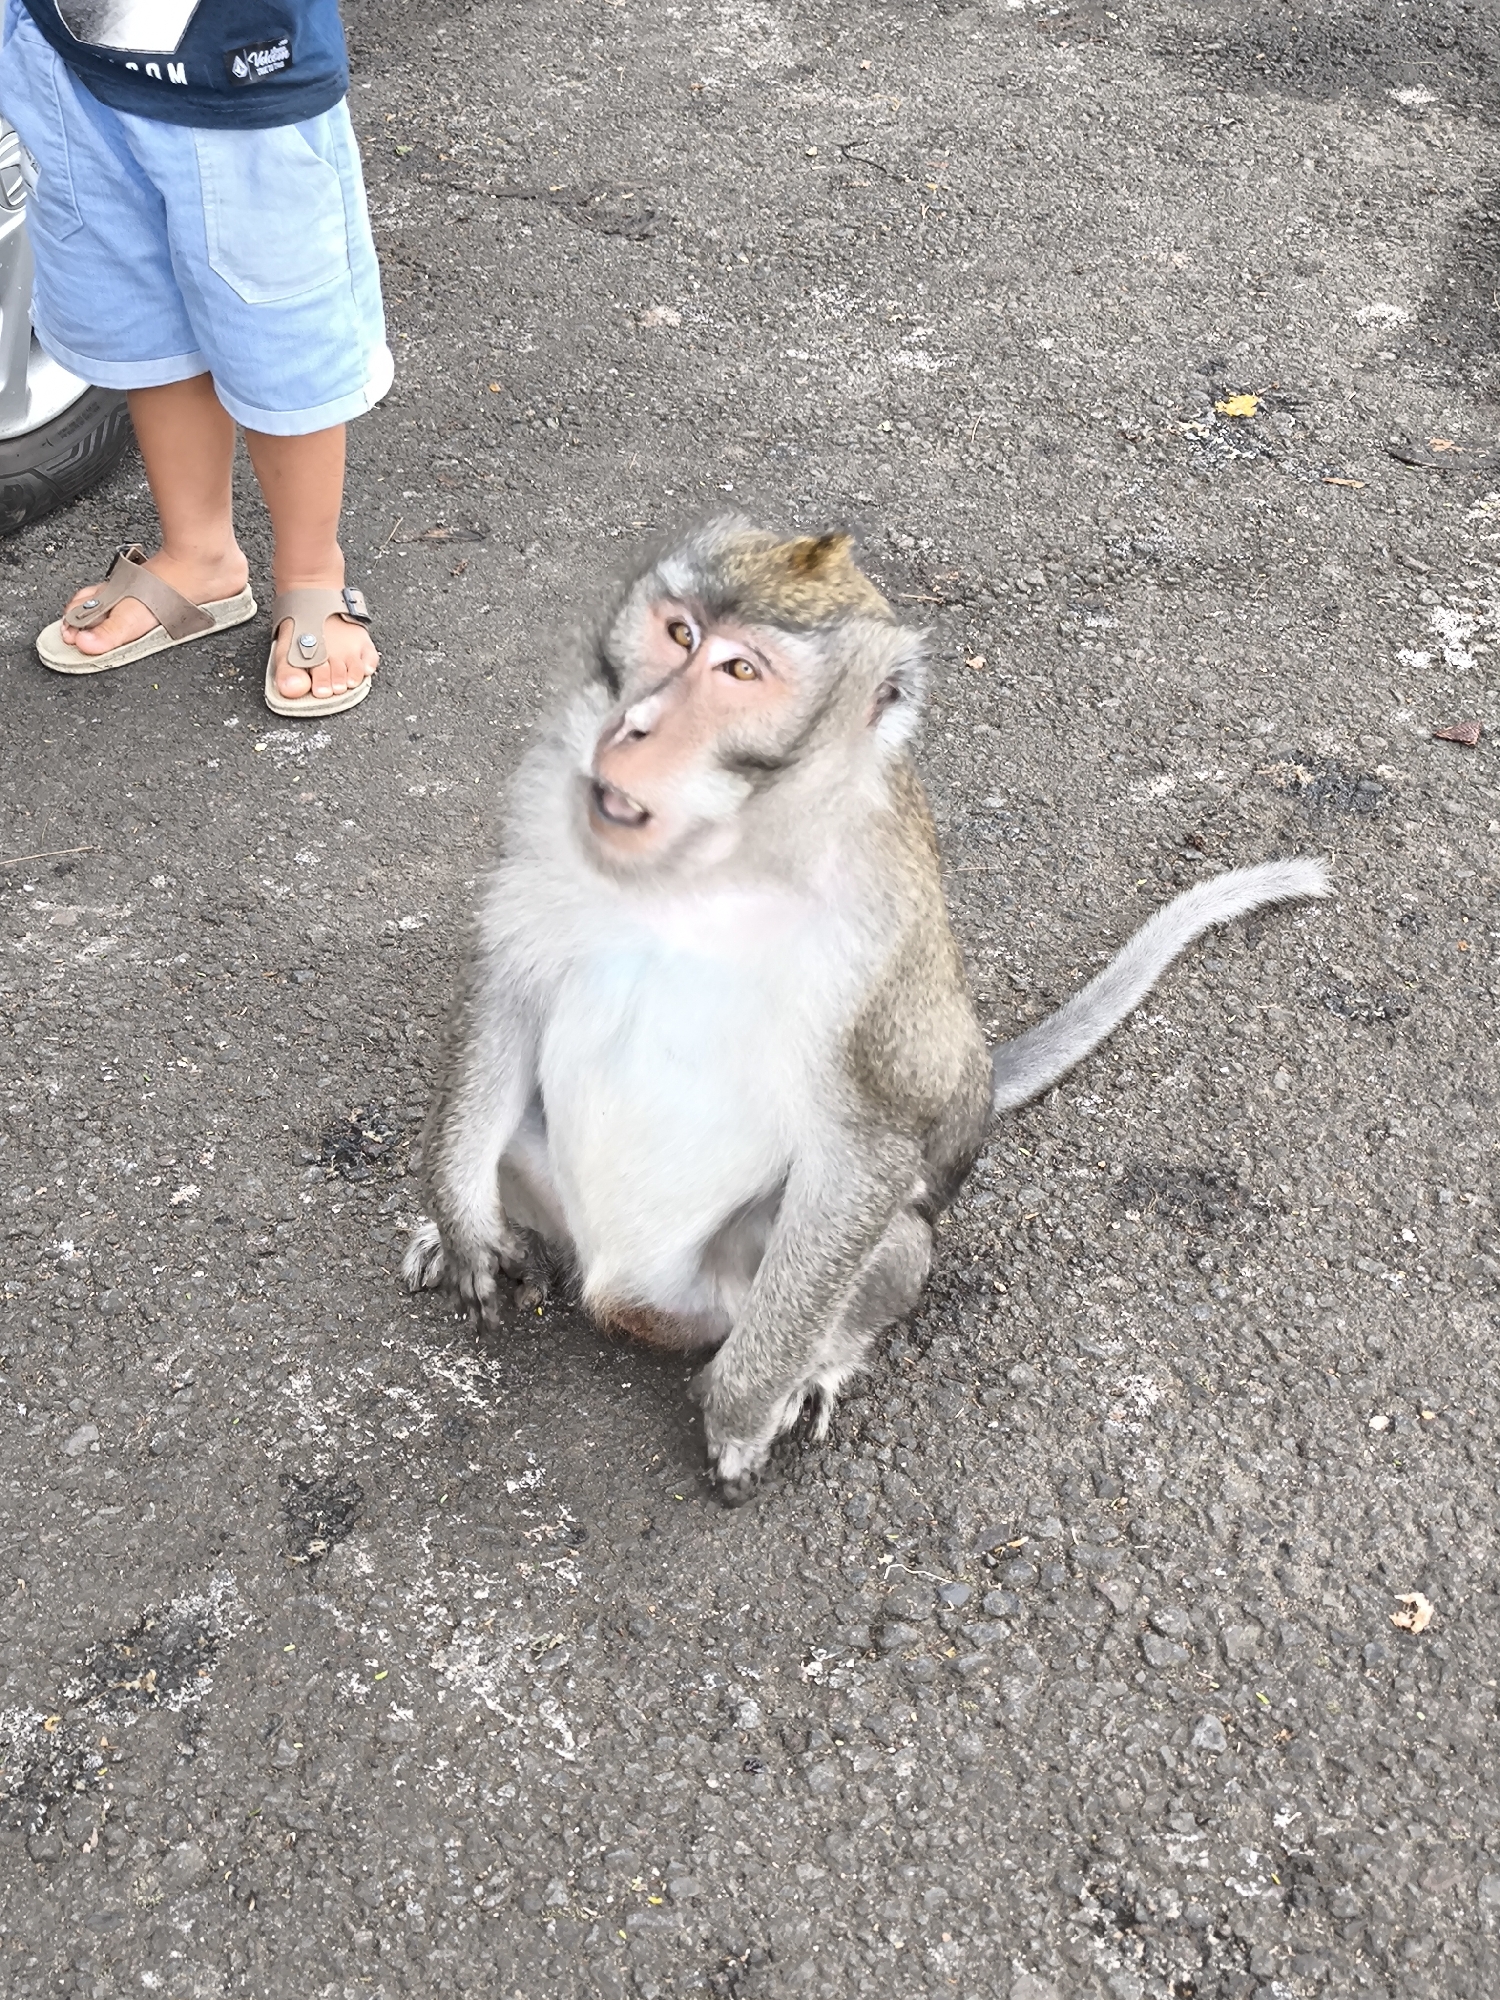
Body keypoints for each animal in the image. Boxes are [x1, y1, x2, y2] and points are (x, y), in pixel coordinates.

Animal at [402, 520, 1329, 1503]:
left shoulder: (870, 951)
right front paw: (463, 1232)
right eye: (678, 633)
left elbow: (869, 1151)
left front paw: (742, 1409)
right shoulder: (544, 814)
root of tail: (620, 1301)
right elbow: (509, 996)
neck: (707, 864)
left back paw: (815, 1365)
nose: (636, 729)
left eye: (741, 672)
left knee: (891, 1247)